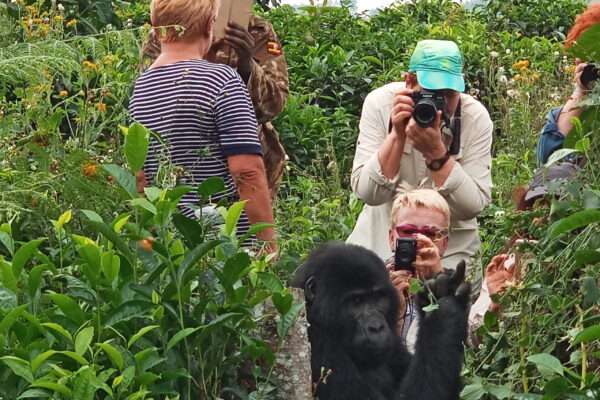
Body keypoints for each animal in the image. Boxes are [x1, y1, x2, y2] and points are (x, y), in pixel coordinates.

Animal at [292, 242, 472, 398]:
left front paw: (437, 294)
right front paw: (444, 309)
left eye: (377, 298)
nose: (376, 327)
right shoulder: (319, 346)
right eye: (356, 302)